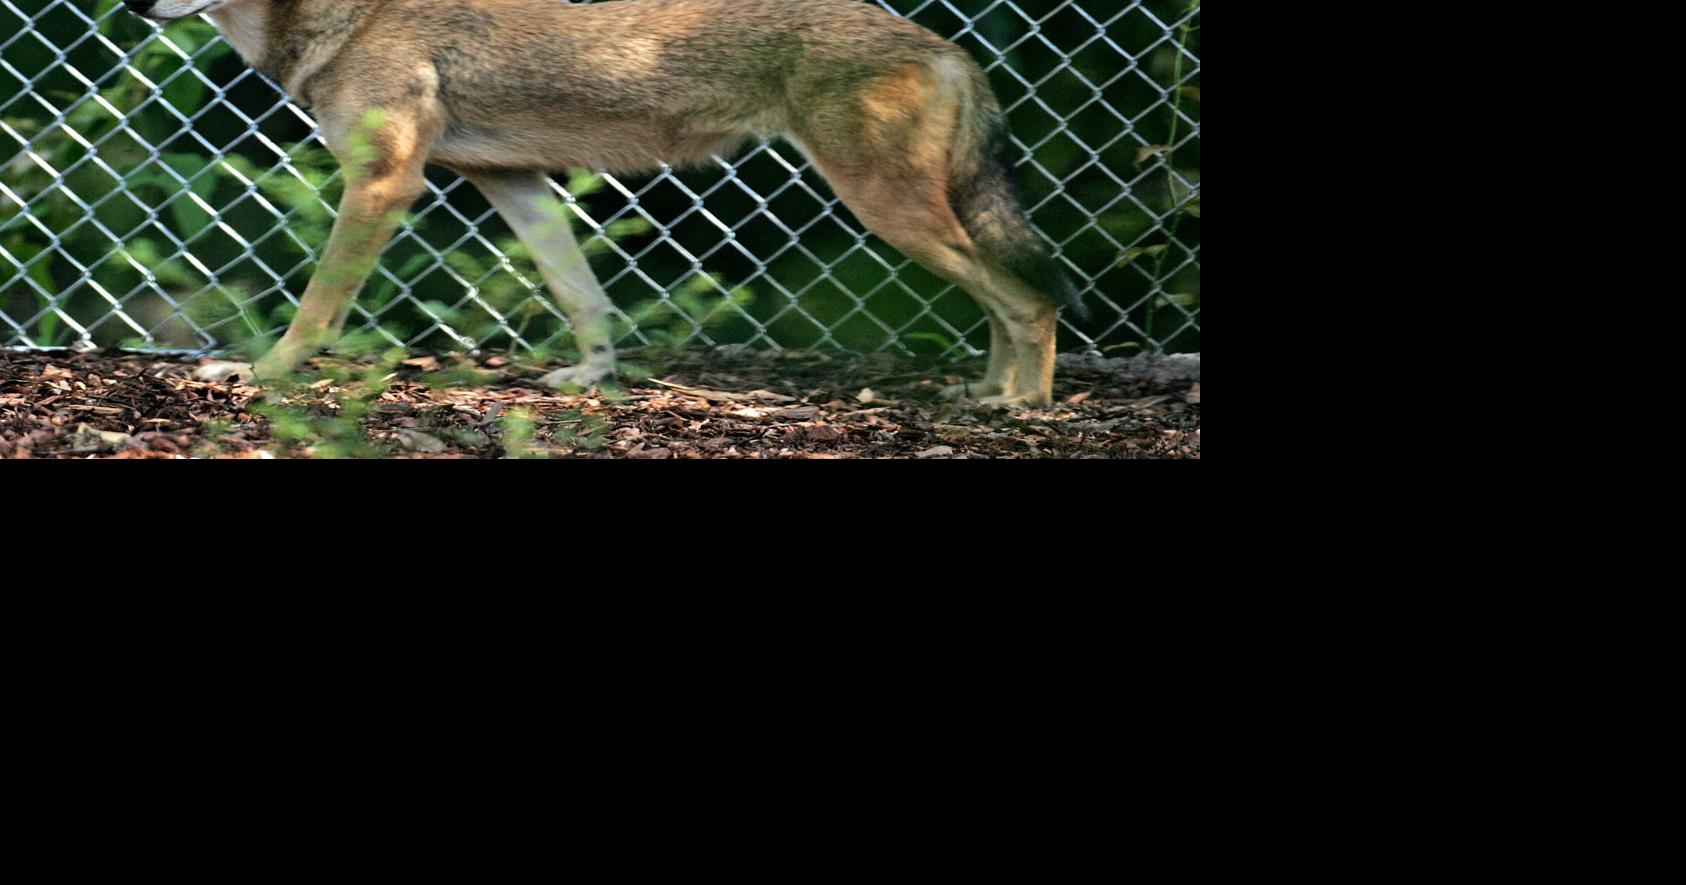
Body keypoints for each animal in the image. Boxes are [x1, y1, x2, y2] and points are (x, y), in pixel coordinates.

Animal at [123, 0, 1084, 405]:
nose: (131, 0)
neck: (344, 22)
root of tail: (947, 44)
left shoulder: (386, 181)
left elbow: (317, 306)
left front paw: (266, 373)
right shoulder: (511, 180)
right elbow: (584, 297)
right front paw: (593, 379)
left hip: (887, 208)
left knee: (1028, 297)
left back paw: (1022, 405)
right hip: (912, 211)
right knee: (1006, 297)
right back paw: (986, 390)